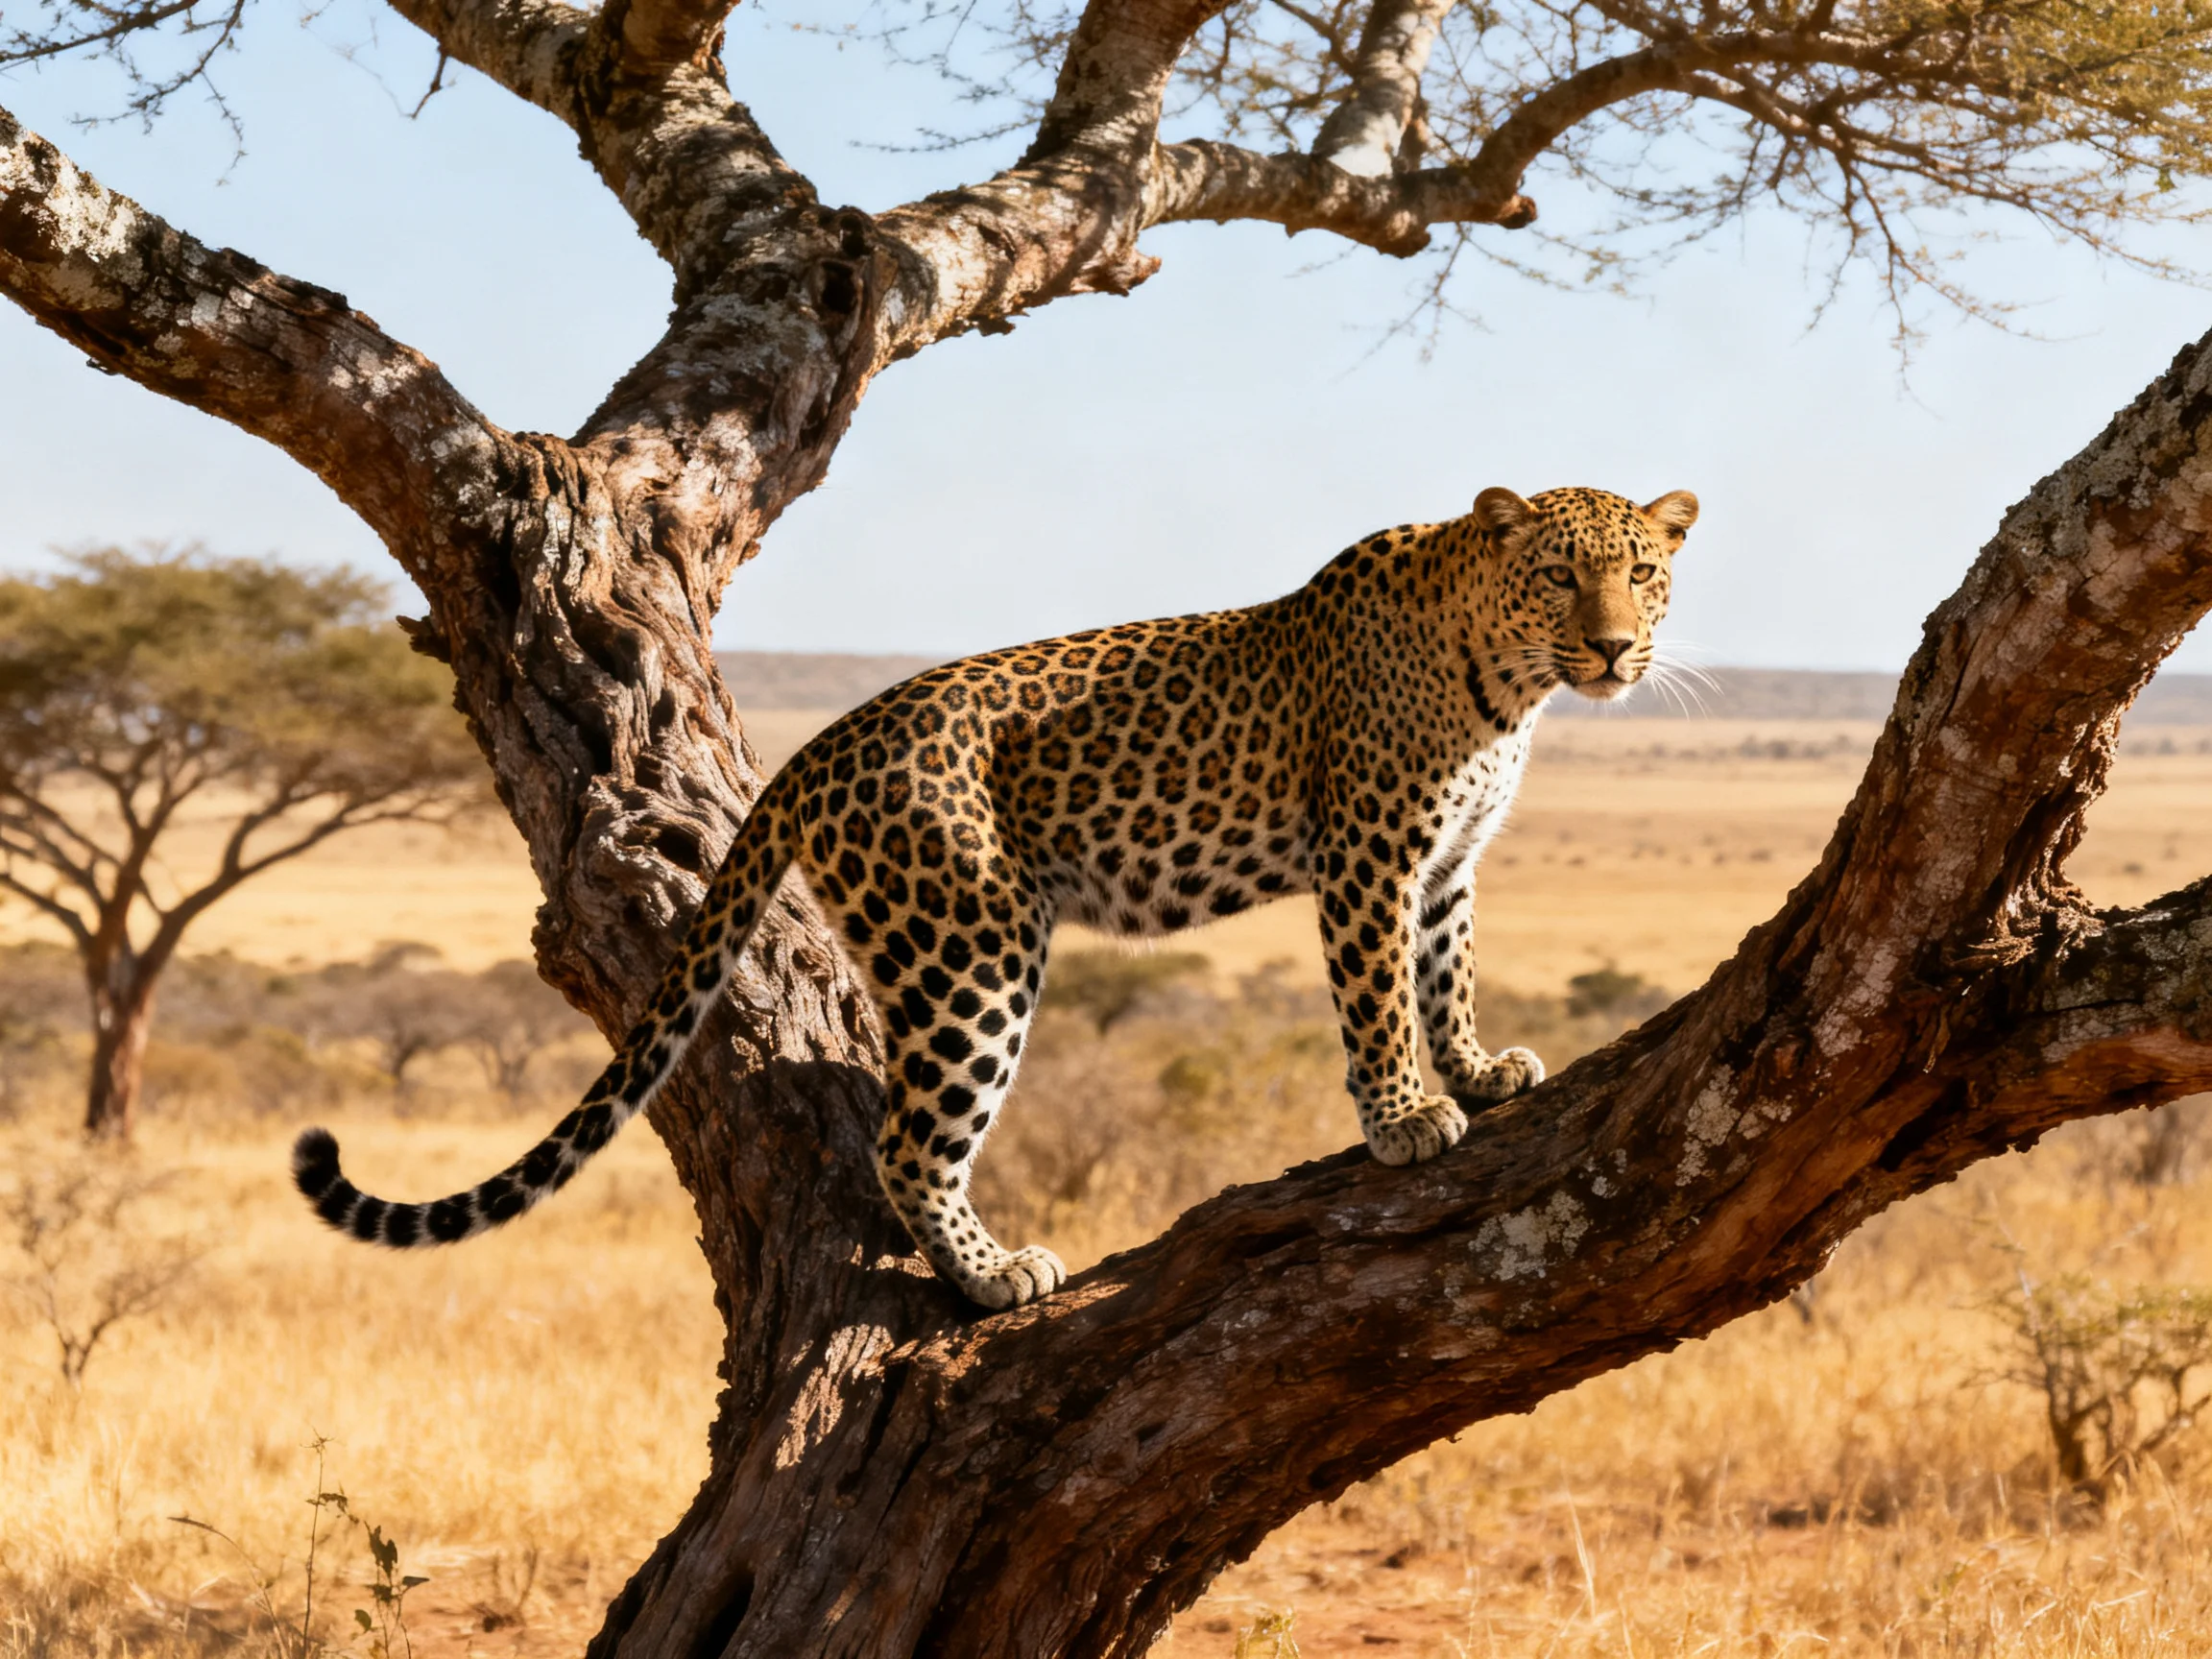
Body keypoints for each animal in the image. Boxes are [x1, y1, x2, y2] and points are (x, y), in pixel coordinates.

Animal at [293, 483, 1698, 1310]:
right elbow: (1377, 996)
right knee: (910, 1142)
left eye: (1643, 571)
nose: (1618, 647)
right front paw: (1407, 1118)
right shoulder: (1370, 851)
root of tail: (829, 741)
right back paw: (993, 1279)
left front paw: (1478, 1069)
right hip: (970, 947)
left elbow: (1444, 974)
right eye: (1562, 575)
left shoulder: (1448, 862)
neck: (1506, 687)